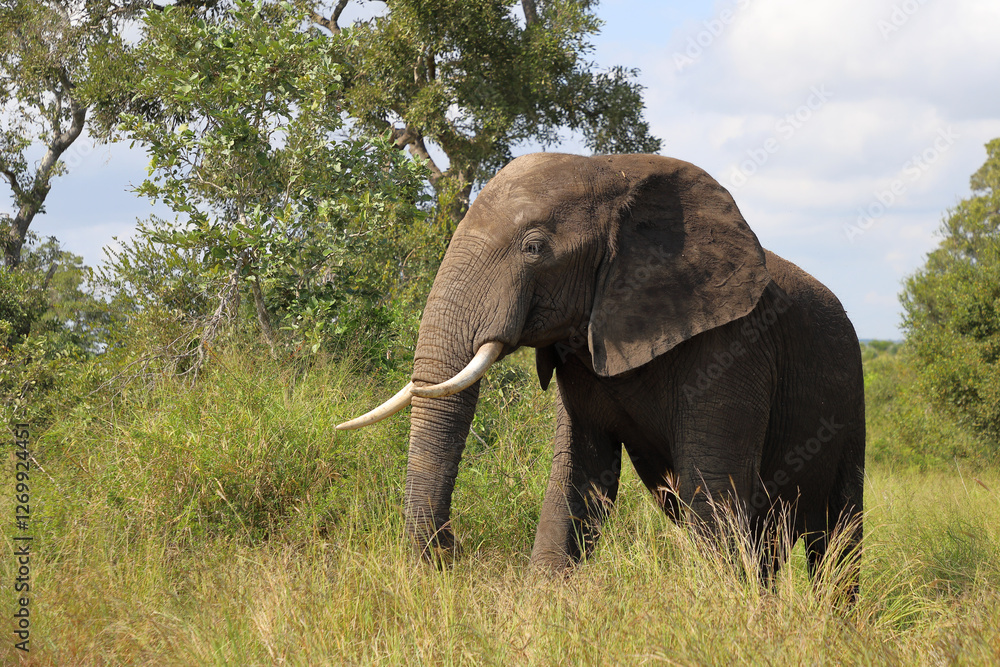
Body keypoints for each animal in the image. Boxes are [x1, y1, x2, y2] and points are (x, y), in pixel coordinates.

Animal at [339, 152, 865, 592]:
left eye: (534, 248)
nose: (452, 550)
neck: (618, 174)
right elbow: (581, 477)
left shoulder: (735, 345)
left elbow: (712, 486)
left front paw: (723, 610)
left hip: (851, 395)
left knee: (838, 539)